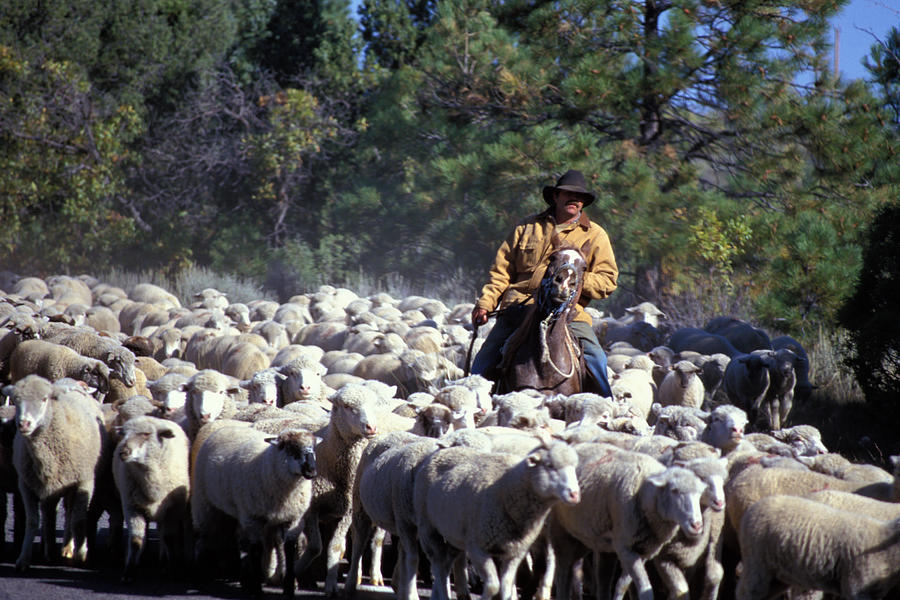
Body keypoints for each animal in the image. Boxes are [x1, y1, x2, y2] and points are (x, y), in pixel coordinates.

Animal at [11, 375, 106, 570]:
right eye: (15, 400)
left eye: (44, 399)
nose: (23, 423)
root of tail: (69, 381)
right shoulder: (25, 484)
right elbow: (32, 521)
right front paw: (23, 558)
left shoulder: (85, 480)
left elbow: (79, 519)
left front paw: (81, 554)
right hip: (50, 486)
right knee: (50, 515)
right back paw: (50, 550)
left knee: (69, 514)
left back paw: (66, 549)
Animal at [112, 415, 191, 582]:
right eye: (124, 434)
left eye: (146, 434)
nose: (123, 452)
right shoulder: (132, 507)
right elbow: (136, 540)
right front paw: (129, 572)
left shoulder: (173, 509)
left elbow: (169, 538)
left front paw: (172, 570)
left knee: (163, 534)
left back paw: (164, 561)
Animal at [192, 424, 318, 596]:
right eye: (289, 448)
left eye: (313, 447)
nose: (311, 470)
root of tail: (227, 427)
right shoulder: (253, 518)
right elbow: (257, 550)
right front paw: (257, 589)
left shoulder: (293, 519)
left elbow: (289, 550)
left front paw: (288, 589)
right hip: (205, 504)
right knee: (202, 538)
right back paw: (200, 575)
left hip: (229, 512)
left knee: (230, 538)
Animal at [414, 436, 580, 600]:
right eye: (550, 465)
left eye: (574, 466)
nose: (575, 494)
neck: (506, 490)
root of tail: (443, 451)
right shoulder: (477, 547)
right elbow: (494, 586)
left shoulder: (514, 553)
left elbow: (506, 585)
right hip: (428, 527)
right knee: (439, 565)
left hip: (452, 533)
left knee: (446, 563)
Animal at [549, 442, 705, 600]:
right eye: (674, 490)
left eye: (699, 494)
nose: (697, 525)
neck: (644, 494)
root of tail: (575, 445)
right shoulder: (625, 547)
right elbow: (645, 589)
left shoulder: (643, 551)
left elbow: (622, 584)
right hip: (560, 531)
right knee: (563, 570)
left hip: (591, 539)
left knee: (601, 578)